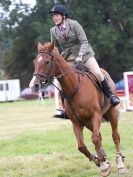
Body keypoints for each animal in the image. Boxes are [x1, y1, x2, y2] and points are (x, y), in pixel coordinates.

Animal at [29, 41, 125, 176]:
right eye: (35, 62)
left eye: (47, 62)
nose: (34, 86)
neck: (75, 88)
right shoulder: (76, 122)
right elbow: (82, 146)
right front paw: (99, 160)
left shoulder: (96, 115)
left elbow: (95, 139)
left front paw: (104, 166)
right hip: (88, 122)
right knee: (99, 136)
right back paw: (104, 157)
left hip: (110, 112)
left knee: (115, 136)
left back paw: (120, 164)